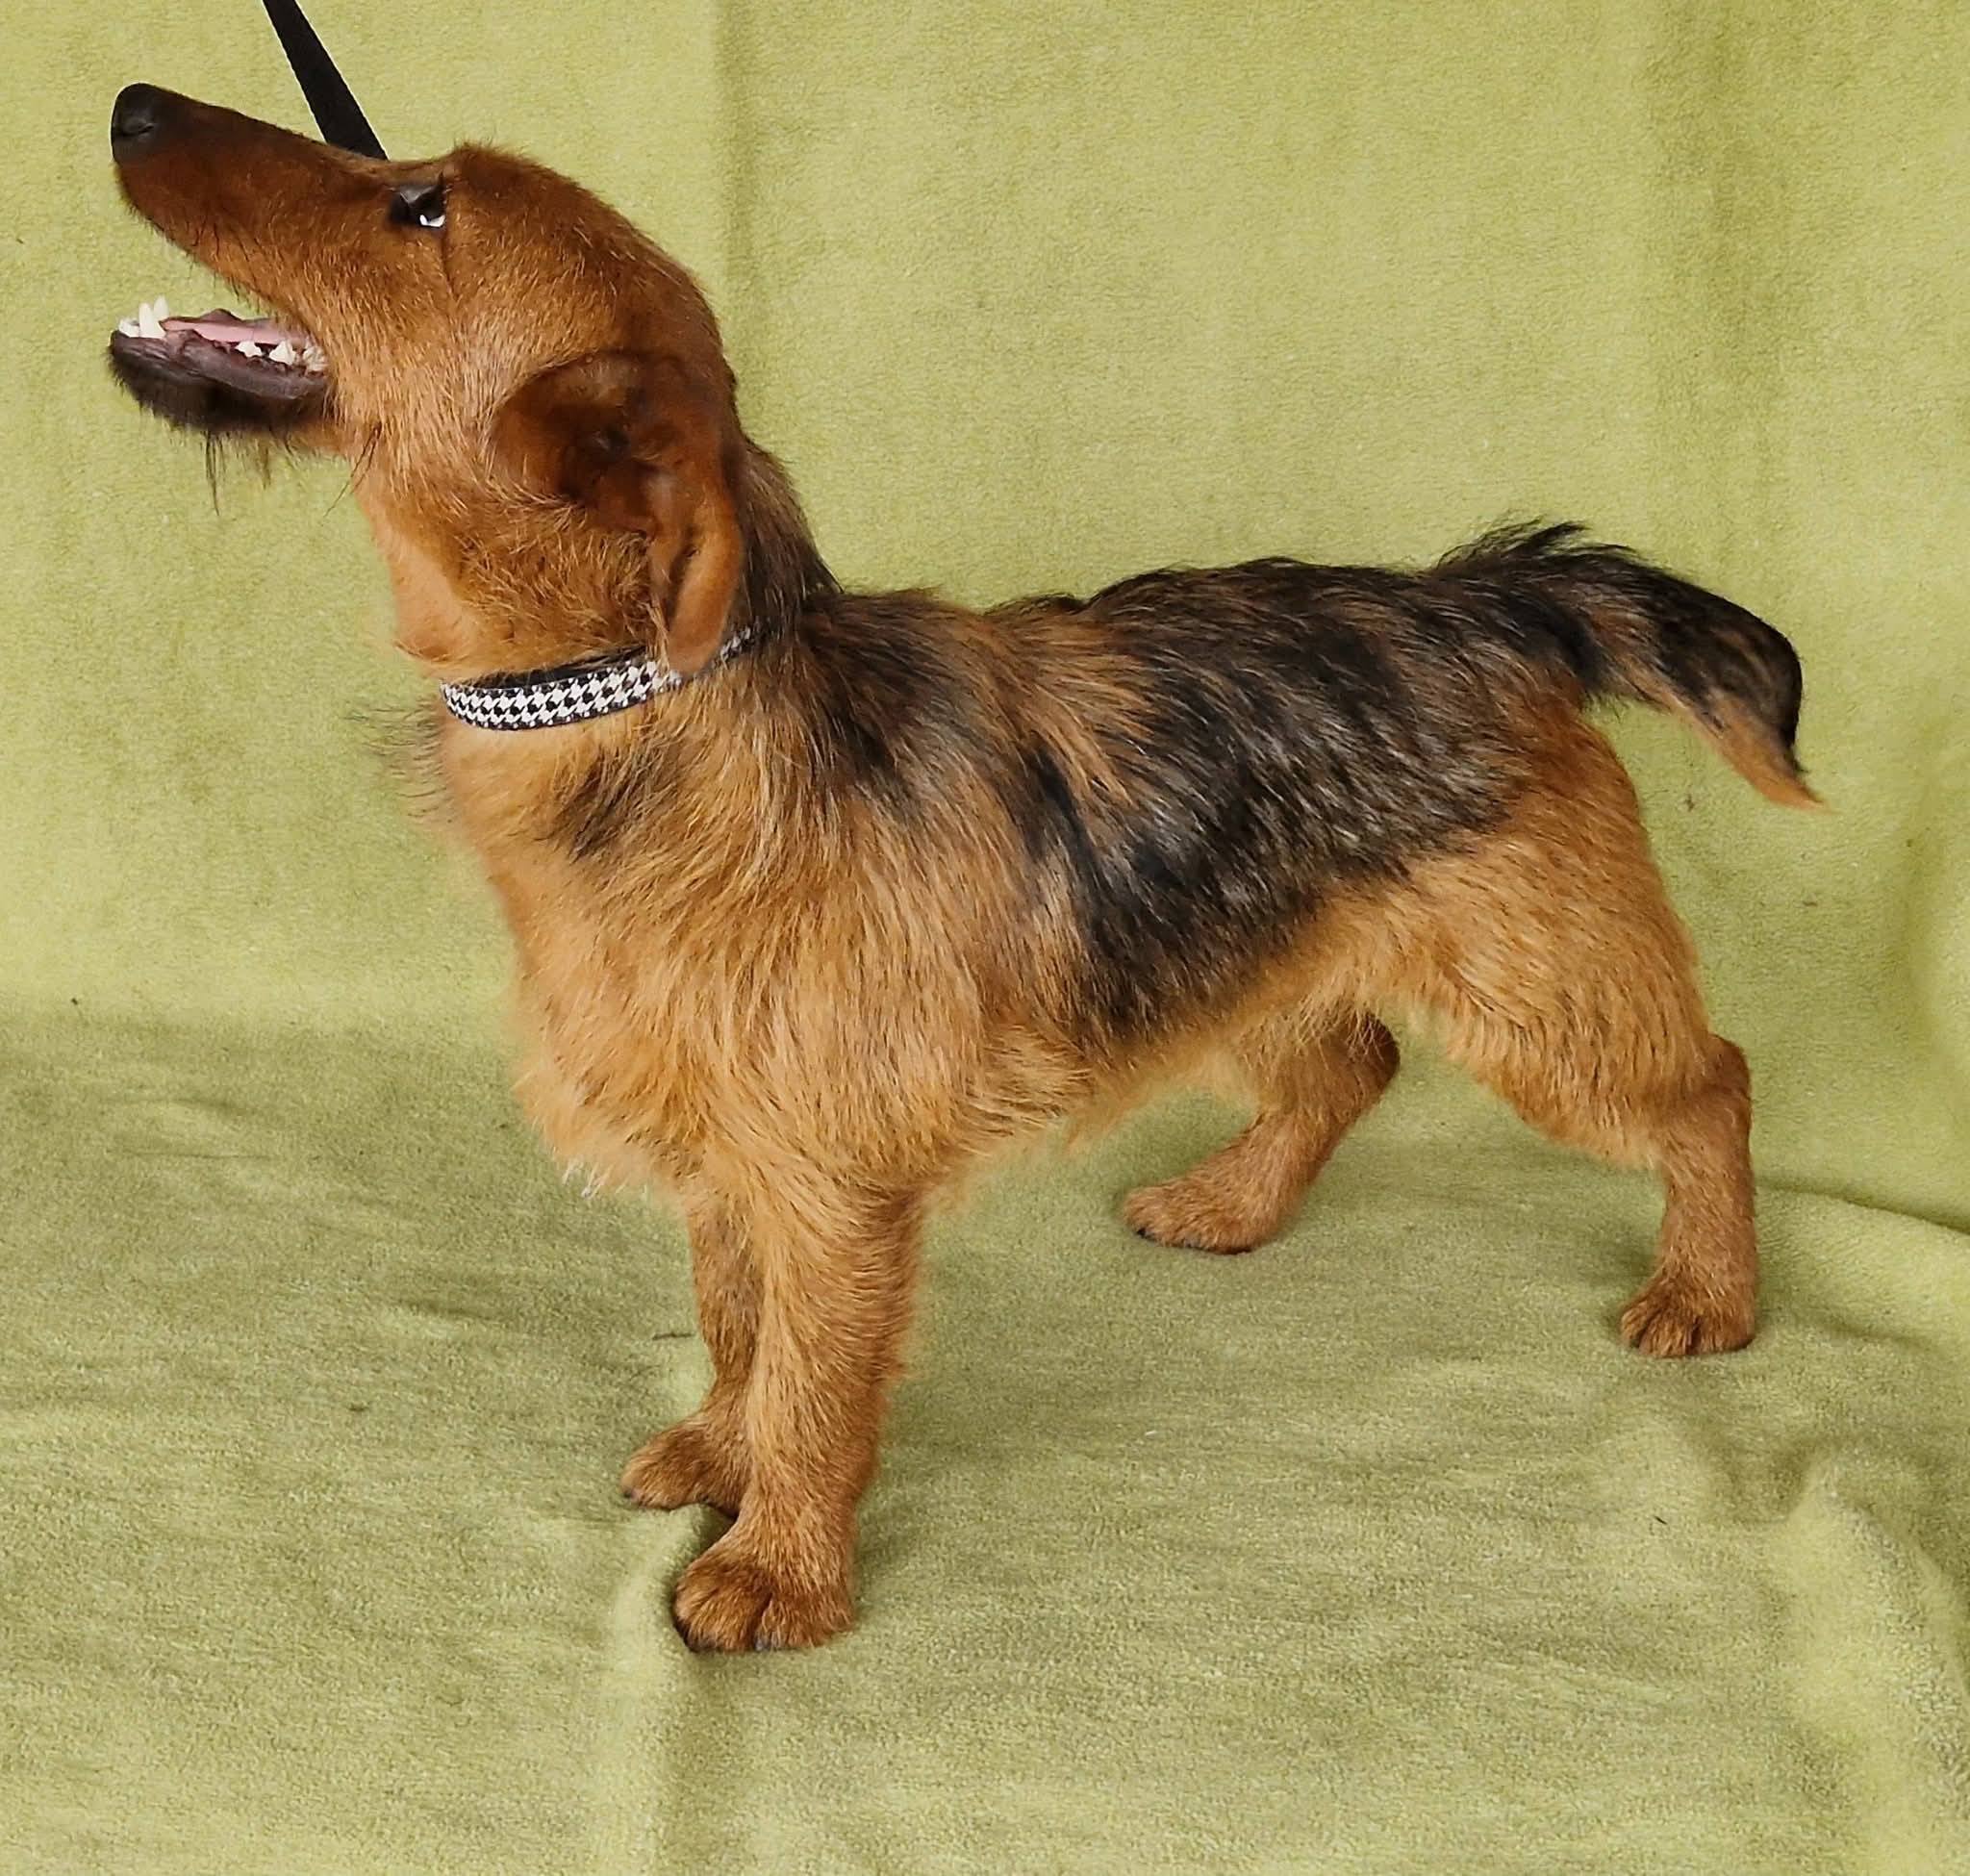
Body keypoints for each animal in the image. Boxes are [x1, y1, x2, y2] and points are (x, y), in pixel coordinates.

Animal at [108, 82, 1816, 1651]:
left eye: (421, 205)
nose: (133, 102)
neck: (650, 703)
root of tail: (1488, 603)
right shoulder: (735, 1158)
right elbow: (739, 1324)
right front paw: (724, 1448)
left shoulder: (828, 1184)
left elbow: (813, 1371)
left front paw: (780, 1564)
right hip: (1245, 948)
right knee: (1353, 1060)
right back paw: (1233, 1201)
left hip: (1543, 993)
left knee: (1710, 1083)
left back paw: (1711, 1291)